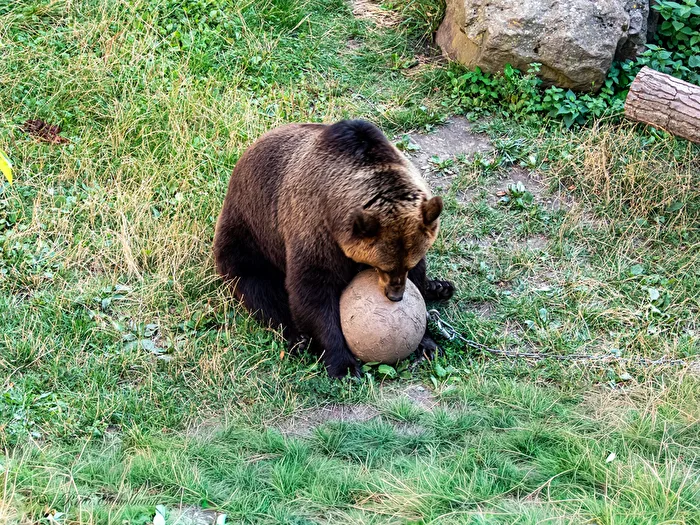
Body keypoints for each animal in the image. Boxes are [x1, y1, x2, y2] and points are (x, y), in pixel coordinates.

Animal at [213, 119, 454, 378]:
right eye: (384, 267)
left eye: (407, 264)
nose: (395, 295)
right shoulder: (314, 229)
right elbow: (312, 292)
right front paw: (344, 365)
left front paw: (427, 344)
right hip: (248, 237)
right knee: (258, 287)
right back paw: (298, 338)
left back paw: (439, 287)